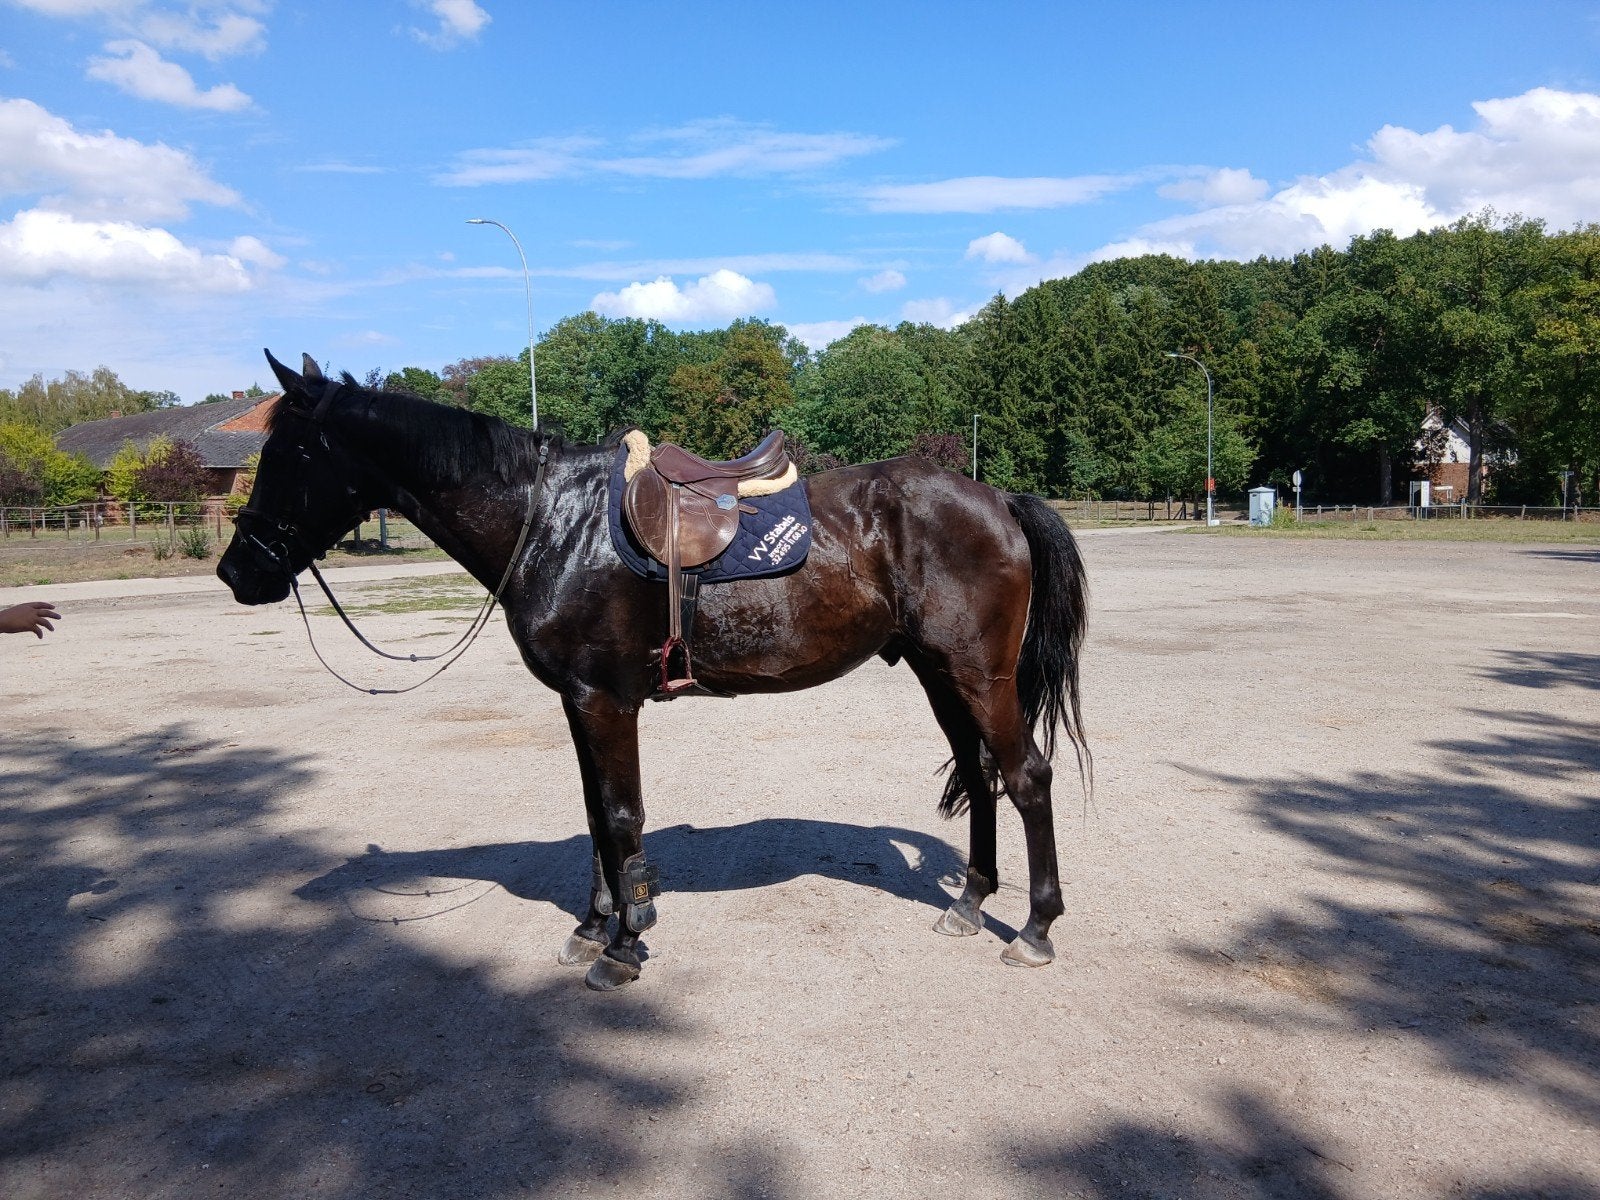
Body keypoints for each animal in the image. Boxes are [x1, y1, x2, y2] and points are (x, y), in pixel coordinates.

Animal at [218, 351, 1090, 991]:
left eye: (291, 451)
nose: (237, 570)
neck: (551, 522)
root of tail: (997, 500)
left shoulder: (606, 700)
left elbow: (621, 817)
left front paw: (625, 945)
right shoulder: (579, 703)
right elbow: (596, 816)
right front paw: (592, 927)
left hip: (978, 675)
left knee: (1027, 777)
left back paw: (1037, 929)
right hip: (939, 674)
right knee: (980, 774)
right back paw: (970, 905)